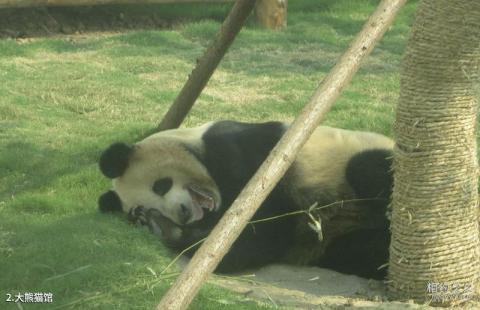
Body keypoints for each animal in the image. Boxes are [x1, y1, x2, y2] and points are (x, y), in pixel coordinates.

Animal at [98, 120, 394, 280]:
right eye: (146, 206)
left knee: (366, 168)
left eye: (161, 186)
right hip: (340, 241)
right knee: (360, 251)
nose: (182, 213)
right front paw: (161, 226)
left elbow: (264, 231)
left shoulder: (247, 153)